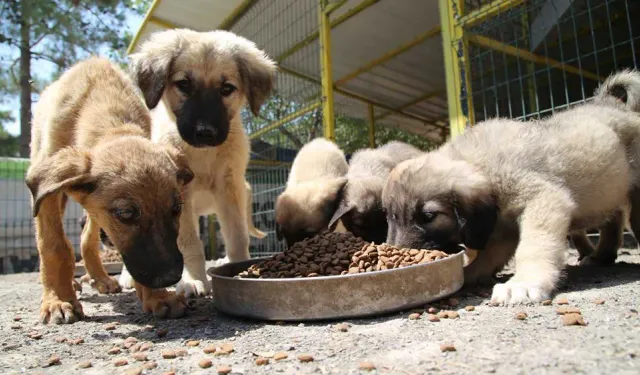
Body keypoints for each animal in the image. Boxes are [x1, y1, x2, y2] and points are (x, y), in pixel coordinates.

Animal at [25, 57, 194, 324]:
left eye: (176, 209)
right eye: (126, 214)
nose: (170, 277)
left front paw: (157, 297)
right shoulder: (48, 191)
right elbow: (54, 246)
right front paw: (58, 300)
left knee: (87, 238)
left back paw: (101, 279)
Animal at [380, 103, 636, 306]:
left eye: (429, 217)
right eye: (390, 217)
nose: (399, 253)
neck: (481, 163)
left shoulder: (543, 199)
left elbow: (533, 245)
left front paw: (524, 282)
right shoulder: (503, 227)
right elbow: (489, 254)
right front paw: (470, 273)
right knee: (613, 219)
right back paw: (603, 255)